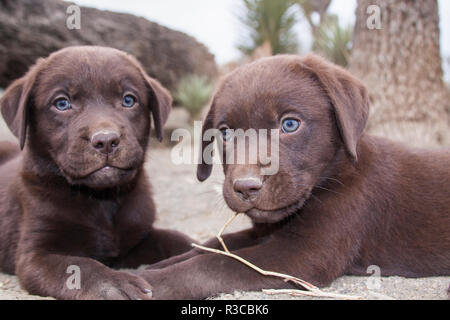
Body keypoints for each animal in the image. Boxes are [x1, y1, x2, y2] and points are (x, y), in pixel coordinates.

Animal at [0, 46, 192, 298]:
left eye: (128, 100)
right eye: (62, 103)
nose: (106, 141)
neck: (102, 199)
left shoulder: (138, 237)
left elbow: (178, 239)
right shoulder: (36, 254)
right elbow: (81, 266)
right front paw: (115, 285)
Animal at [142, 53, 450, 300]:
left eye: (290, 124)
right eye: (225, 133)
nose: (245, 187)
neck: (334, 174)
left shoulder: (303, 254)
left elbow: (216, 264)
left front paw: (145, 284)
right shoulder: (262, 231)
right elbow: (211, 246)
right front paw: (156, 265)